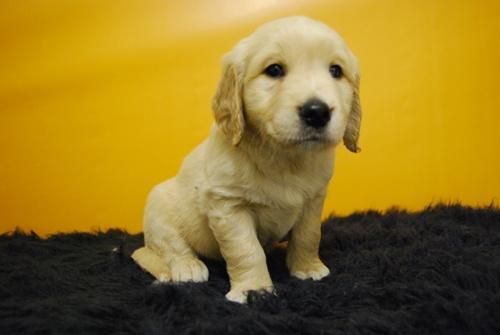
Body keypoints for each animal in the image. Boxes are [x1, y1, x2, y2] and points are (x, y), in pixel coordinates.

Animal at [131, 15, 362, 304]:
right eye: (274, 70)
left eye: (336, 71)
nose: (317, 112)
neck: (284, 156)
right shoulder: (227, 205)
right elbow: (247, 250)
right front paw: (254, 289)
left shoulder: (313, 199)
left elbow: (309, 235)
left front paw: (308, 268)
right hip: (158, 211)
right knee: (166, 248)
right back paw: (188, 267)